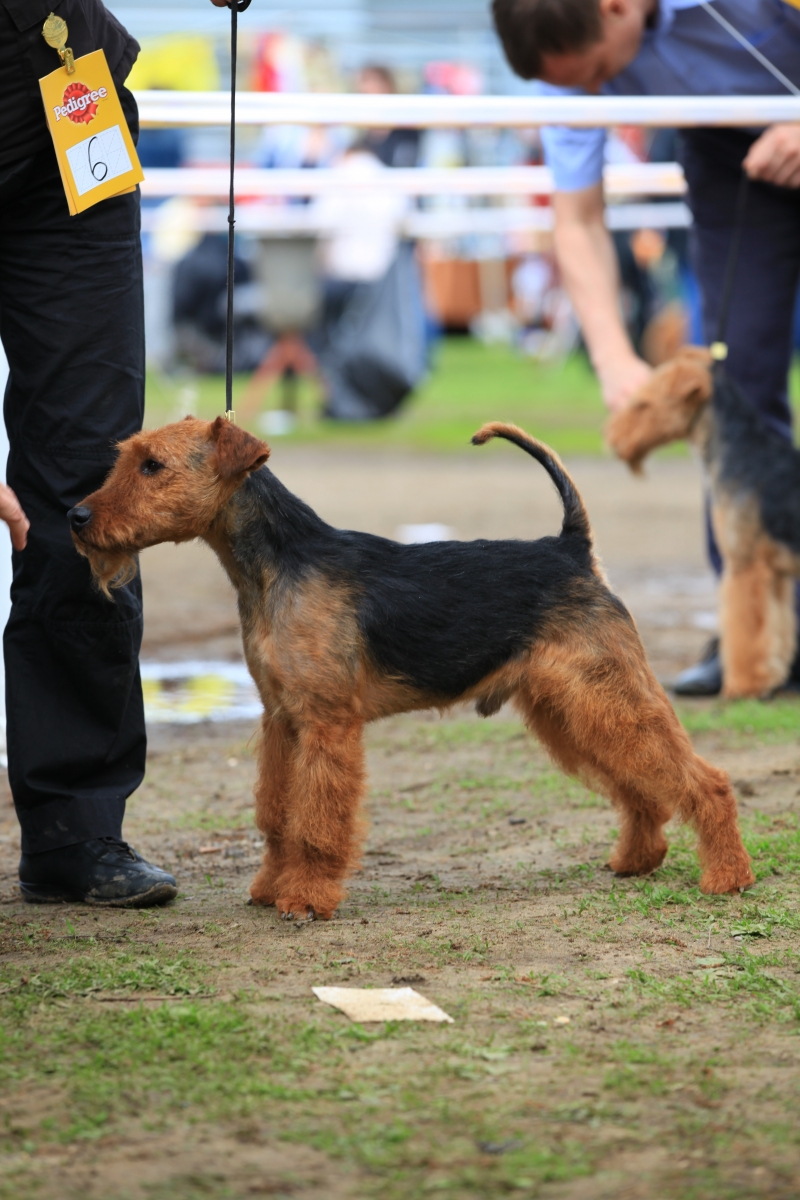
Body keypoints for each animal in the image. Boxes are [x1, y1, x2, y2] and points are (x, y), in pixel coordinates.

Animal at [65, 415, 753, 916]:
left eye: (152, 465)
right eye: (129, 456)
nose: (76, 516)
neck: (273, 567)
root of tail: (572, 549)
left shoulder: (326, 724)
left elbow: (316, 821)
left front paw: (306, 900)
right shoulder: (280, 719)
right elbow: (276, 814)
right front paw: (268, 888)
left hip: (604, 693)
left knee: (704, 779)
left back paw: (727, 876)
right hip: (570, 707)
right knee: (640, 787)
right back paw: (636, 859)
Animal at [606, 345, 800, 700]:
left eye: (644, 403)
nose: (613, 438)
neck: (746, 454)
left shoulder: (745, 566)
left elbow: (746, 632)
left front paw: (743, 685)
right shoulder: (774, 575)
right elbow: (775, 630)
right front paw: (771, 677)